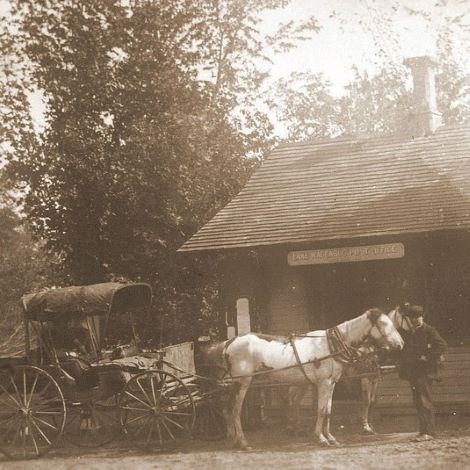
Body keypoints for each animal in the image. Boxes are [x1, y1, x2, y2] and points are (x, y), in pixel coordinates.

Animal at [202, 306, 404, 450]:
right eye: (384, 324)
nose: (400, 344)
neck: (331, 346)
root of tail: (229, 342)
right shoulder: (323, 383)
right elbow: (321, 410)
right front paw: (320, 439)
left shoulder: (331, 384)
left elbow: (328, 410)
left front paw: (331, 437)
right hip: (241, 383)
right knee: (234, 410)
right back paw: (243, 443)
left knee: (229, 410)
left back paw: (234, 440)